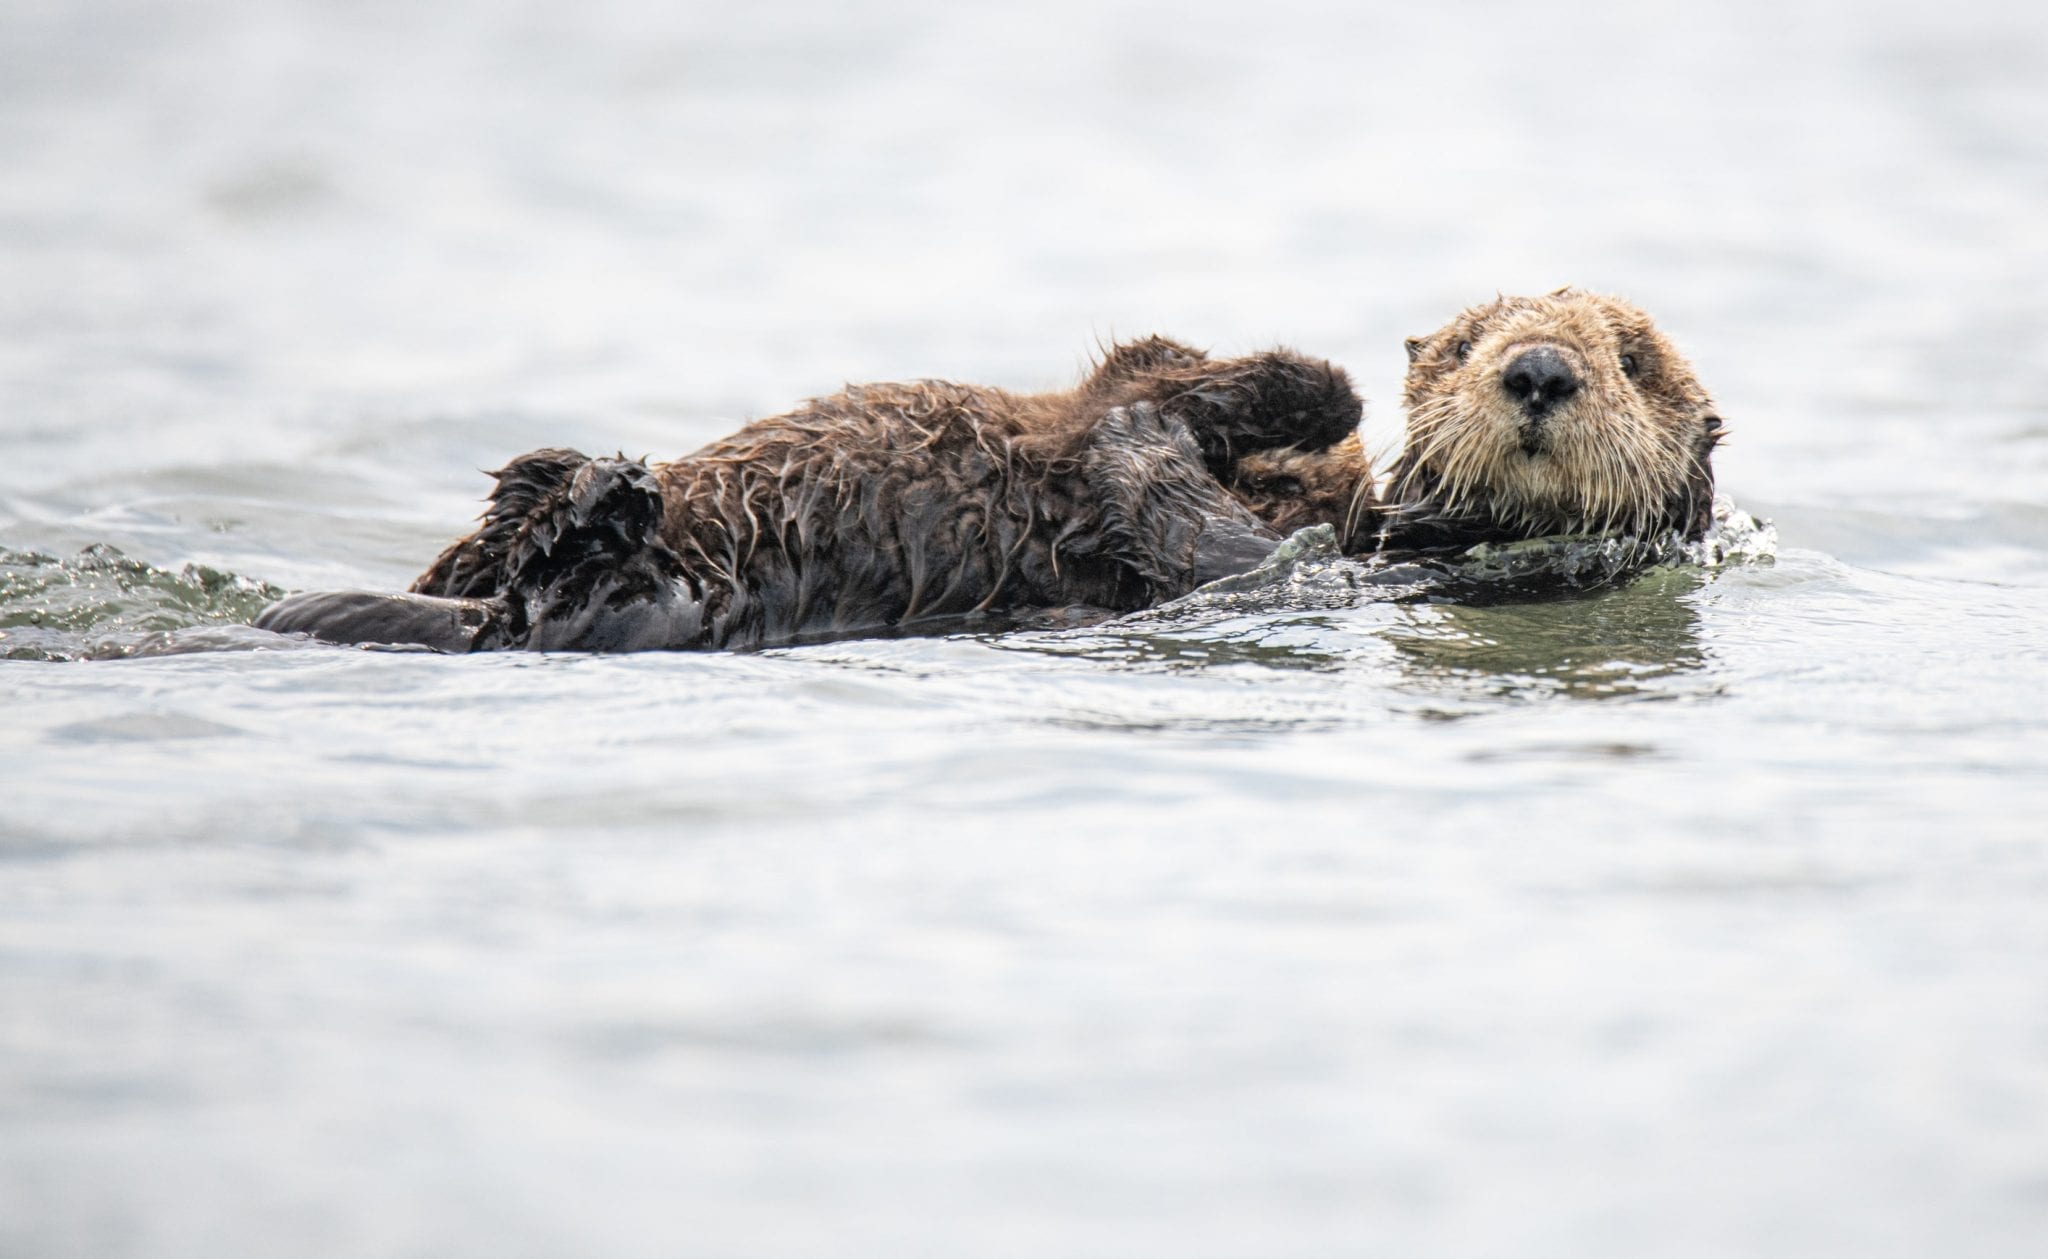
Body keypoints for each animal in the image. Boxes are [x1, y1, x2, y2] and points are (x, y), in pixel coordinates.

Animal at [254, 338, 1363, 652]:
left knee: (549, 587)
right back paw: (581, 470)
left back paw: (610, 493)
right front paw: (1325, 391)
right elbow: (1159, 365)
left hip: (646, 600)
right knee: (494, 538)